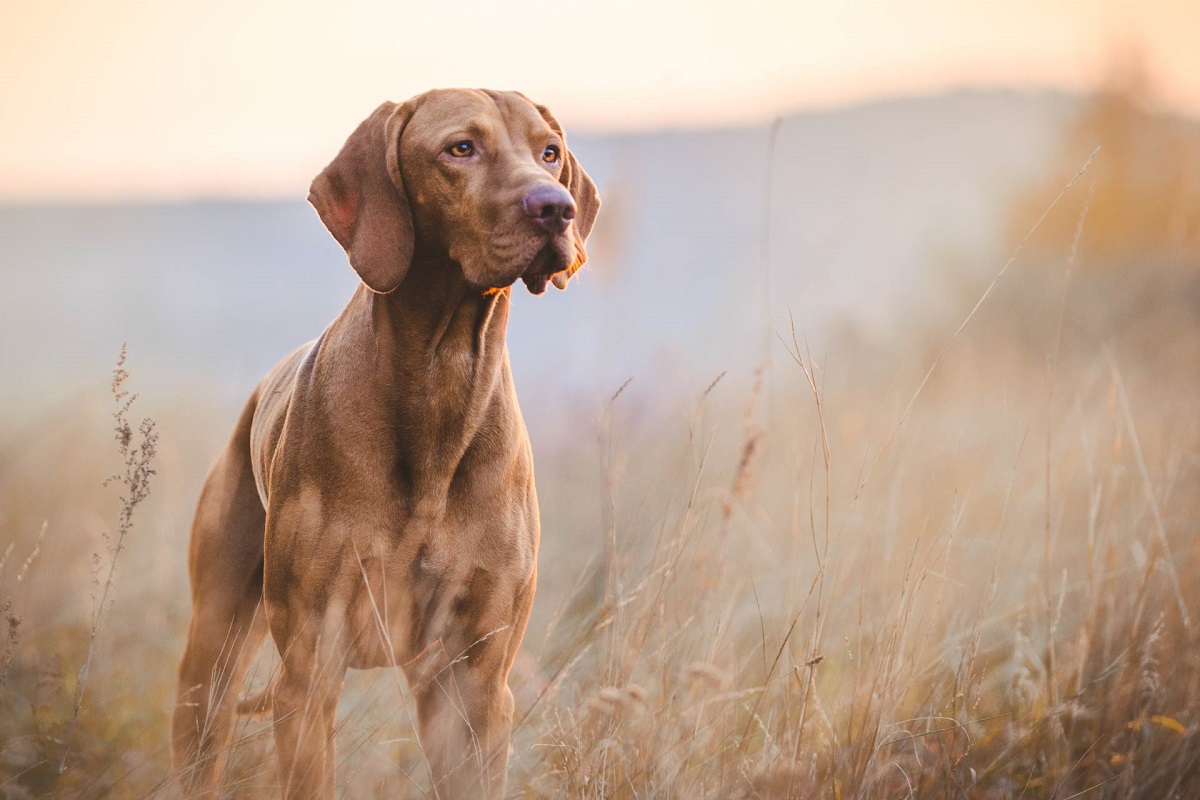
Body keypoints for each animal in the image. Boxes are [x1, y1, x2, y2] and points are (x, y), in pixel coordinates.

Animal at [171, 89, 597, 800]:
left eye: (549, 152)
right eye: (461, 148)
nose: (556, 207)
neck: (441, 380)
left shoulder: (475, 683)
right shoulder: (310, 671)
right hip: (211, 659)